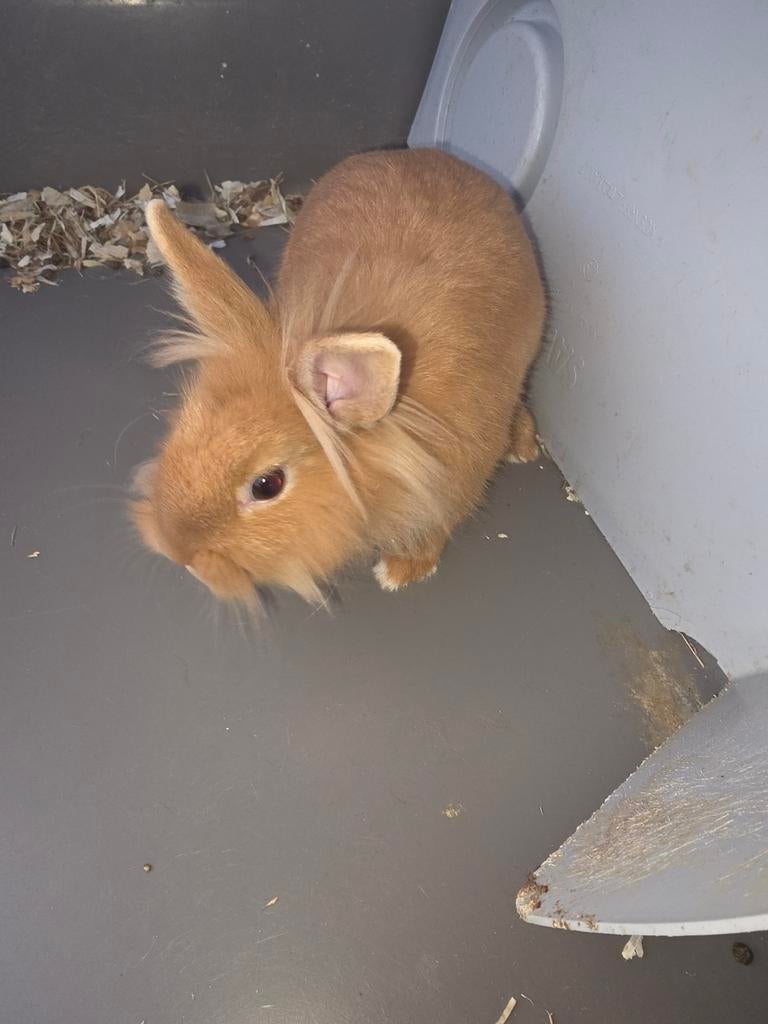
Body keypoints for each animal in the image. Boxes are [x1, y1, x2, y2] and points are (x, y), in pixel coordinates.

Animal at [132, 148, 545, 604]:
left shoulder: (452, 487)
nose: (179, 554)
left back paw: (525, 447)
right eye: (181, 425)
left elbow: (430, 534)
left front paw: (398, 573)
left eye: (267, 485)